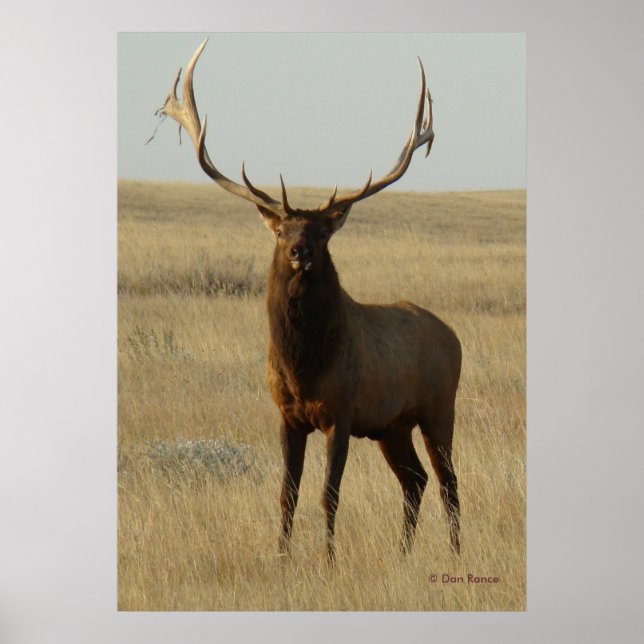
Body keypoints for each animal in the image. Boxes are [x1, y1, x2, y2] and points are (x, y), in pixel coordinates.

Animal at [156, 37, 461, 564]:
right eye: (282, 231)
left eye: (321, 231)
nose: (301, 251)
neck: (303, 365)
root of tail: (456, 337)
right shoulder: (287, 414)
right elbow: (287, 492)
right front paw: (281, 558)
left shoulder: (341, 411)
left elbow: (328, 492)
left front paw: (328, 560)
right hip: (393, 426)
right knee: (416, 480)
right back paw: (403, 553)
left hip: (440, 408)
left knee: (448, 482)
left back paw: (457, 553)